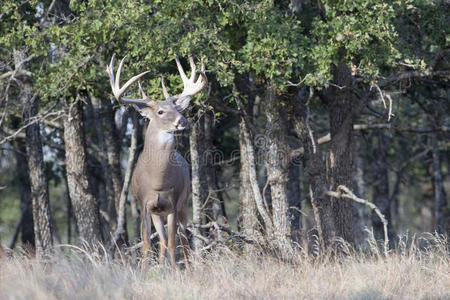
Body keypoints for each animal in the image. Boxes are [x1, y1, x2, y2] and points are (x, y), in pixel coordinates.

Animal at [106, 52, 207, 268]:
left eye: (178, 109)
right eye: (160, 112)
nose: (182, 121)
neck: (158, 180)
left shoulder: (173, 203)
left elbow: (173, 242)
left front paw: (175, 271)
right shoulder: (145, 204)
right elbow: (146, 243)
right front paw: (145, 271)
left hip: (183, 204)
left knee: (182, 237)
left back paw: (187, 267)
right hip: (156, 213)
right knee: (161, 240)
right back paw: (162, 266)